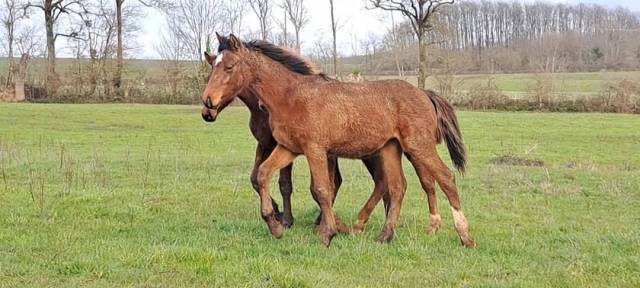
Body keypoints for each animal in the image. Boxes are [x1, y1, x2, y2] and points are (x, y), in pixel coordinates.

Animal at [201, 33, 476, 245]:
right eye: (213, 66)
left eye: (229, 67)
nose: (208, 103)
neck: (291, 96)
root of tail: (424, 93)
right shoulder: (288, 148)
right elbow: (262, 175)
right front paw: (275, 224)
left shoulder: (315, 149)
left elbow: (322, 189)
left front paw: (327, 233)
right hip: (390, 148)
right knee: (397, 187)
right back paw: (384, 236)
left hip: (418, 147)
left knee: (445, 178)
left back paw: (464, 237)